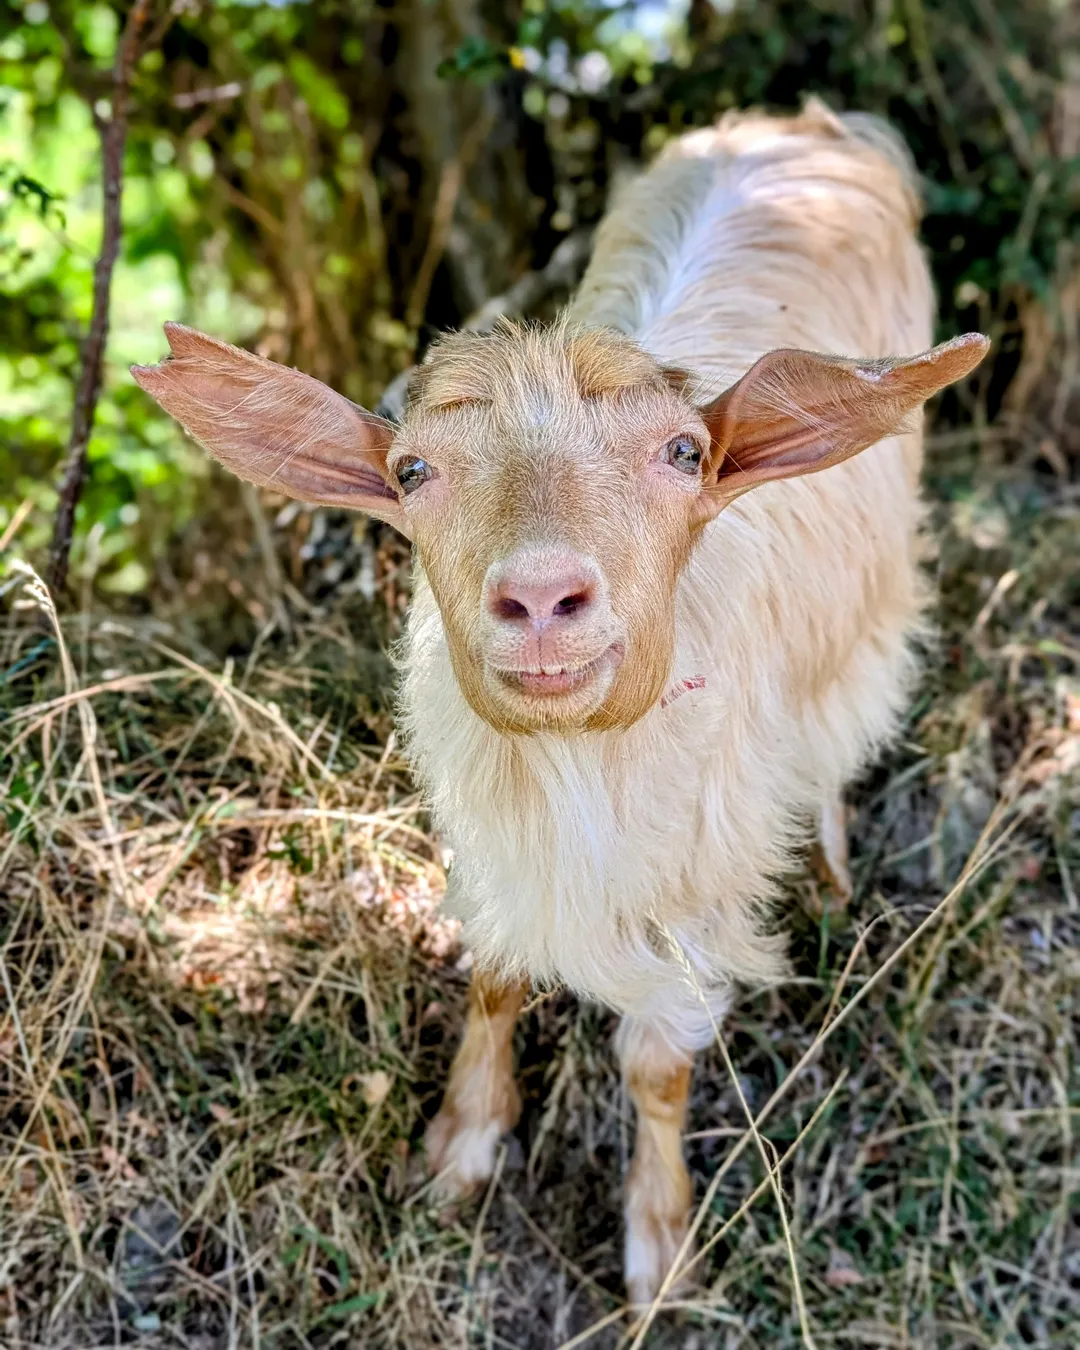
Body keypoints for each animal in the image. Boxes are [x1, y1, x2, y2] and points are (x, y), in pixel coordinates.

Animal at [132, 98, 989, 1306]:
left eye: (686, 452)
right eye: (409, 473)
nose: (541, 595)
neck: (577, 758)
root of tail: (814, 122)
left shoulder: (698, 877)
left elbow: (657, 1063)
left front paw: (659, 1244)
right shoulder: (490, 838)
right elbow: (494, 979)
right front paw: (460, 1146)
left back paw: (827, 854)